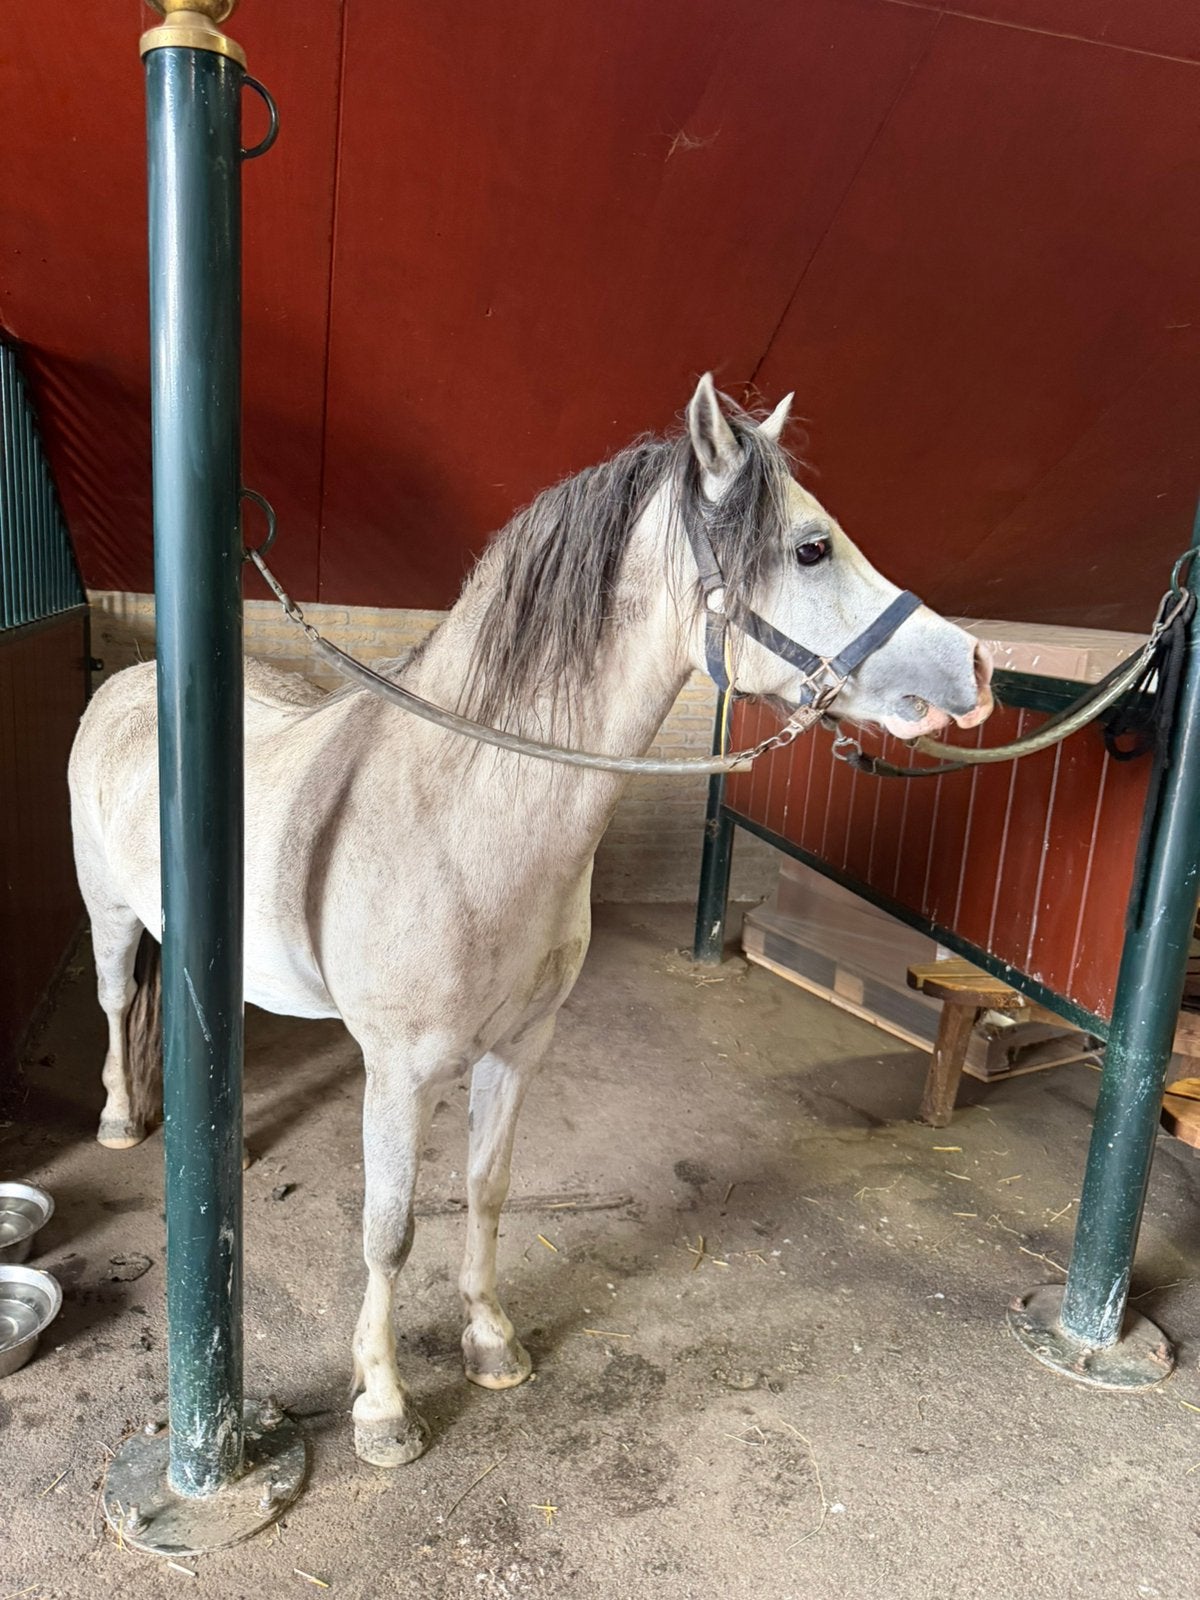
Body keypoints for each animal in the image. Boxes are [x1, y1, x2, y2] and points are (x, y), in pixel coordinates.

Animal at [68, 375, 993, 1466]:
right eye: (811, 547)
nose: (976, 665)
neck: (460, 815)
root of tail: (128, 686)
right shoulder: (400, 1074)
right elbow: (388, 1228)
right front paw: (382, 1404)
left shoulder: (518, 1049)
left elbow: (487, 1189)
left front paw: (490, 1341)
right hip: (109, 917)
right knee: (113, 1002)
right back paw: (122, 1117)